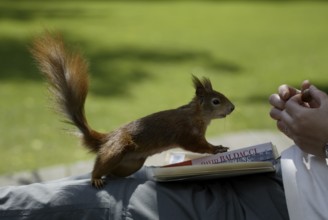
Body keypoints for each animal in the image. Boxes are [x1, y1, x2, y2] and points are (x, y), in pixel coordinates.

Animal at [30, 31, 234, 188]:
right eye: (216, 101)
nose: (232, 107)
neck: (197, 115)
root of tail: (106, 139)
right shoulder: (186, 133)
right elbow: (197, 146)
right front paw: (216, 148)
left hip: (132, 163)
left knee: (112, 173)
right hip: (117, 149)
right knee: (99, 166)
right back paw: (96, 178)